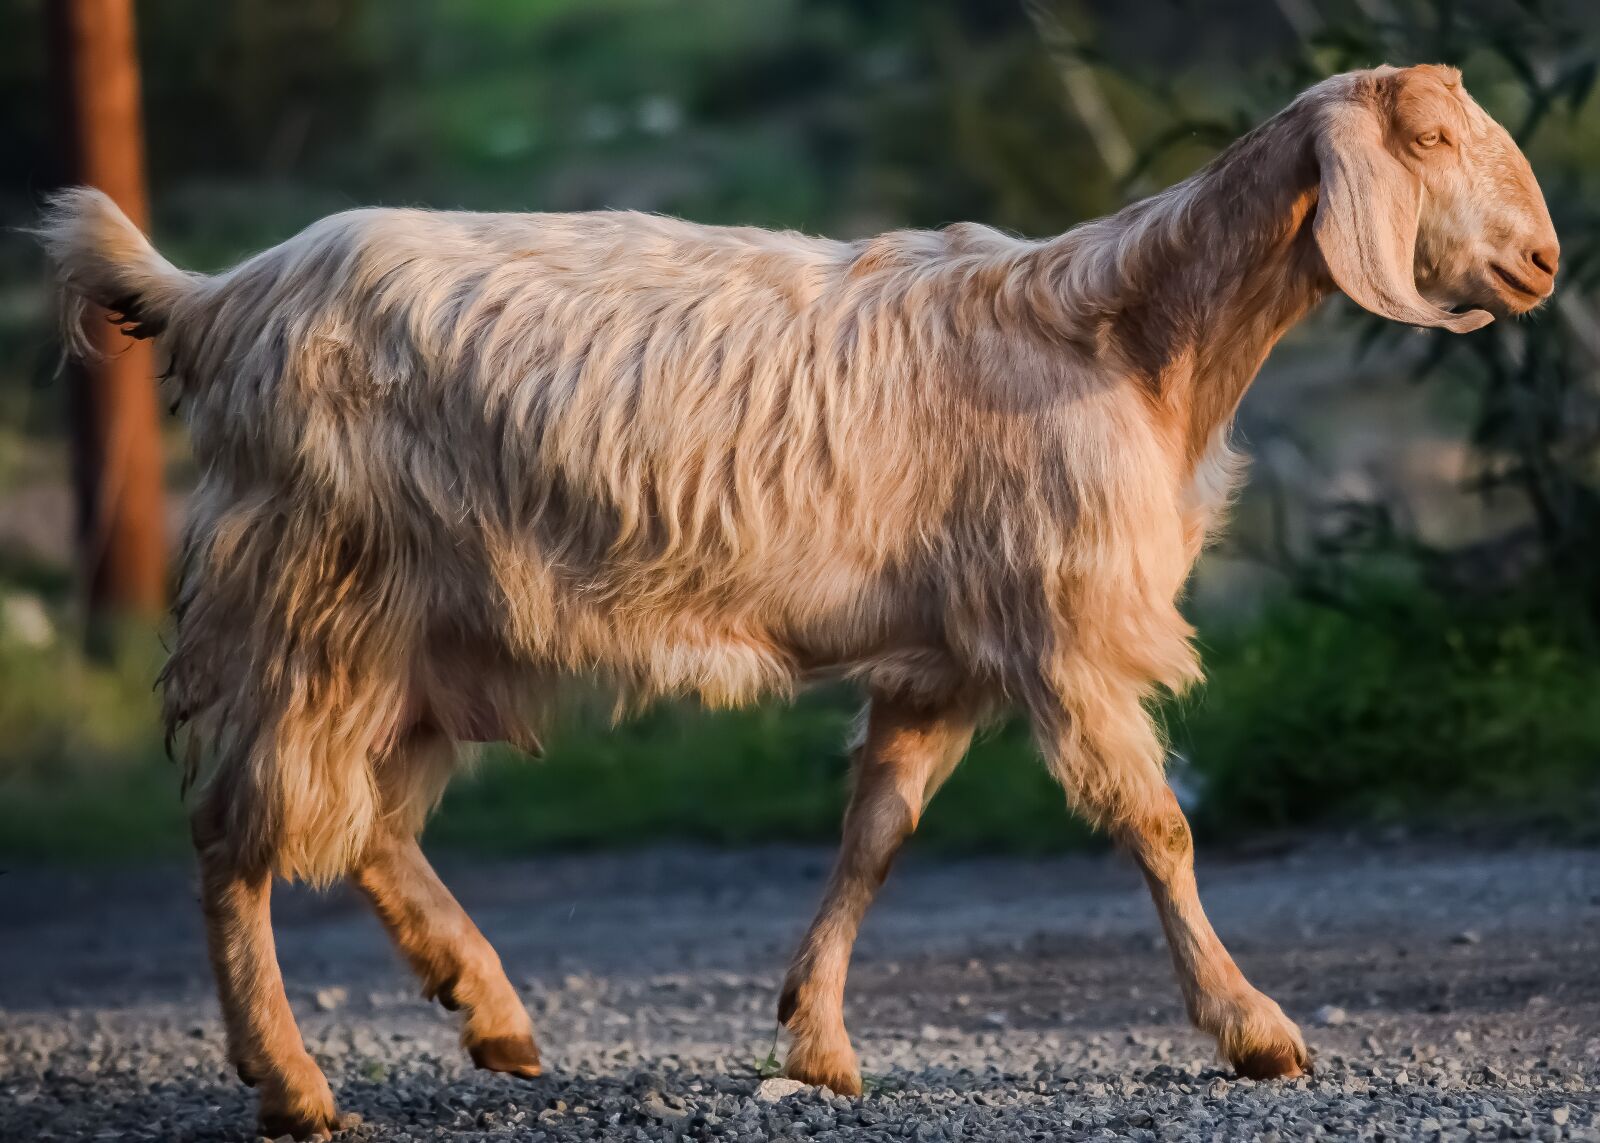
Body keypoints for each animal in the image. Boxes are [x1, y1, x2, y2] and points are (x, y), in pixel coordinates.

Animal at [38, 64, 1556, 1139]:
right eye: (1429, 142)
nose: (1542, 263)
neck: (1131, 335)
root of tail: (221, 292)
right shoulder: (1055, 623)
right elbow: (1157, 825)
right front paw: (1253, 1028)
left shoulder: (943, 646)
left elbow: (875, 831)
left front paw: (817, 1041)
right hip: (312, 587)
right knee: (241, 831)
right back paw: (296, 1085)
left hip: (426, 621)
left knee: (360, 816)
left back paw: (490, 1009)